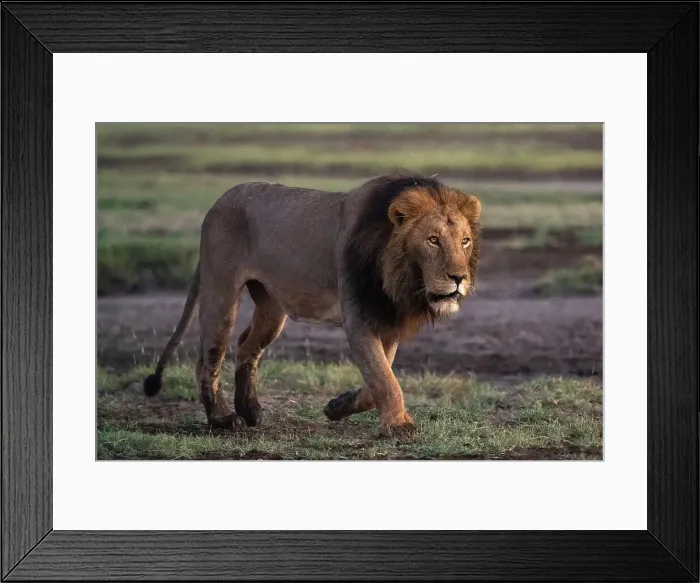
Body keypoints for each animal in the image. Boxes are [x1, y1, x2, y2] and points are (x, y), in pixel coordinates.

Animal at [143, 171, 481, 437]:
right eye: (433, 240)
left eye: (465, 241)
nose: (459, 277)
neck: (398, 277)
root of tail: (217, 203)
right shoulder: (358, 316)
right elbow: (383, 377)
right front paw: (399, 426)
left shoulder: (387, 316)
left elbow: (379, 378)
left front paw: (337, 406)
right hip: (220, 289)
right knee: (209, 356)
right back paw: (223, 419)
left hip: (271, 306)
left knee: (247, 346)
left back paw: (250, 410)